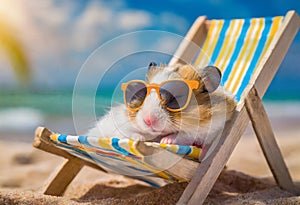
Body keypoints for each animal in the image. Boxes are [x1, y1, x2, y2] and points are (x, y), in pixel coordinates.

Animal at [86, 62, 237, 151]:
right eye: (143, 96)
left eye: (175, 99)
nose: (148, 121)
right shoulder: (119, 123)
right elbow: (127, 132)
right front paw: (140, 138)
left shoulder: (212, 126)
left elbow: (184, 135)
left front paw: (166, 140)